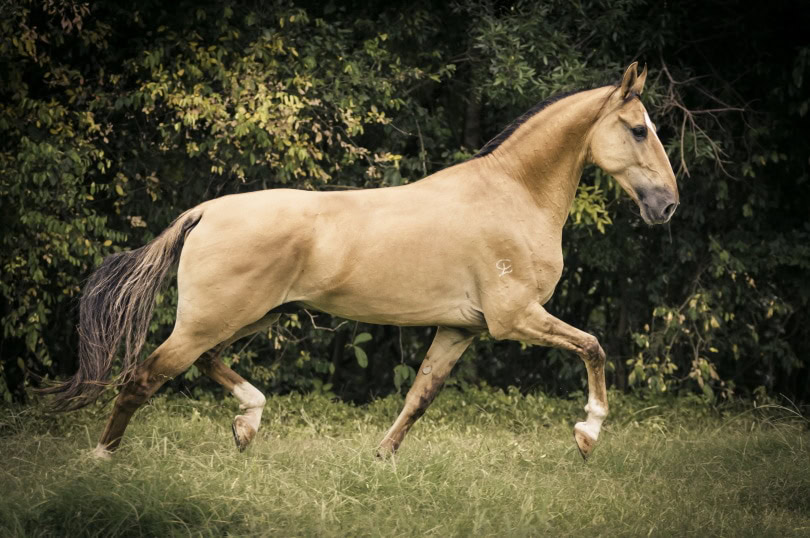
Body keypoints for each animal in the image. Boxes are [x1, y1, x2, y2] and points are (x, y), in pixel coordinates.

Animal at [44, 62, 678, 461]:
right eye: (638, 129)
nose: (667, 205)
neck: (512, 194)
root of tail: (204, 212)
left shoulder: (460, 329)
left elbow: (420, 397)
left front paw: (382, 458)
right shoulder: (515, 318)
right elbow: (594, 346)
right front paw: (587, 434)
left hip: (250, 318)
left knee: (205, 363)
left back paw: (248, 423)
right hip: (211, 320)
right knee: (143, 378)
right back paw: (101, 459)